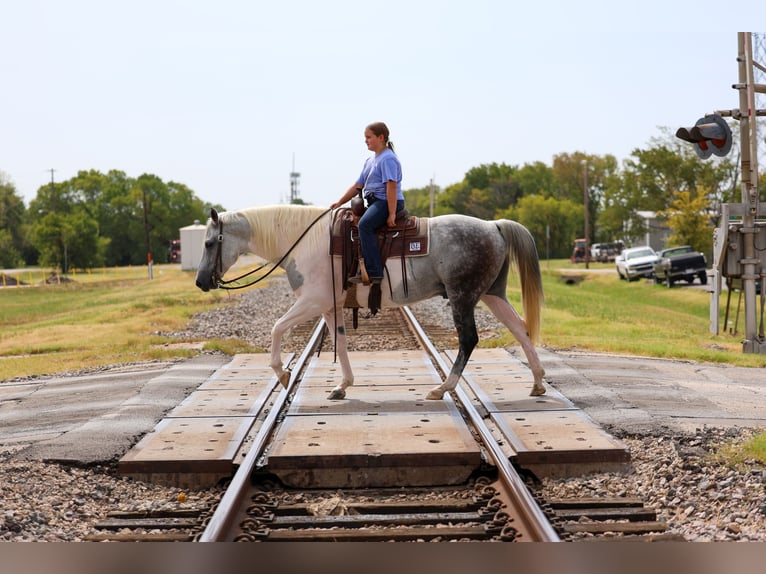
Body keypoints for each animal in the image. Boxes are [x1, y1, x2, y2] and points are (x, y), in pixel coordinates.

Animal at [195, 204, 546, 401]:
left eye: (210, 242)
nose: (200, 282)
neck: (304, 241)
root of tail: (493, 225)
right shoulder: (329, 306)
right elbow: (340, 342)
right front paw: (342, 386)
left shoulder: (312, 301)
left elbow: (277, 328)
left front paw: (282, 374)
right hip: (492, 294)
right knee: (521, 329)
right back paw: (538, 382)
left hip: (463, 297)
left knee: (469, 340)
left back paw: (442, 388)